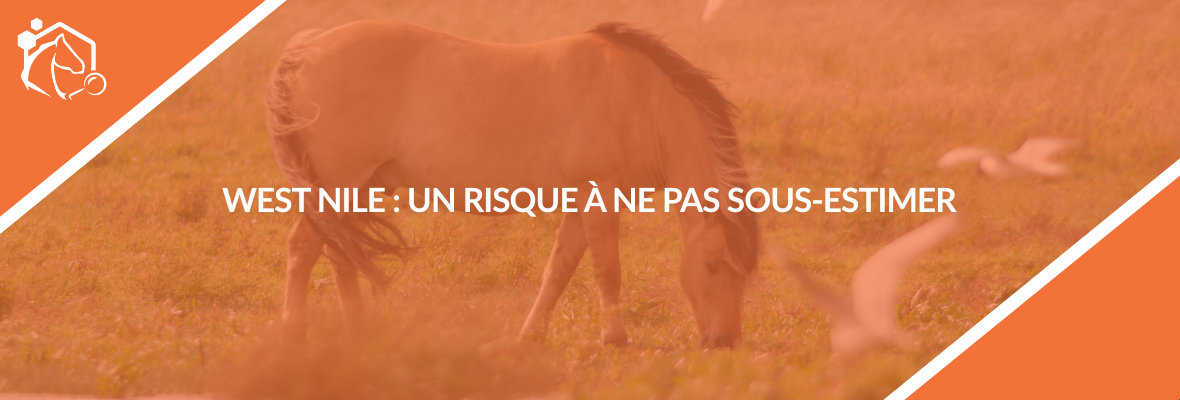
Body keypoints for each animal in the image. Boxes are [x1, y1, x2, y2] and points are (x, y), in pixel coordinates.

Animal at [265, 20, 760, 348]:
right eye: (714, 266)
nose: (724, 342)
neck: (639, 99)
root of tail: (306, 47)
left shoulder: (581, 202)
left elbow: (559, 269)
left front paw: (531, 334)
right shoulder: (599, 196)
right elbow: (607, 271)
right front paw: (614, 338)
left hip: (351, 189)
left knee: (338, 251)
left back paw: (358, 329)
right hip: (337, 182)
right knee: (304, 247)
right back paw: (293, 330)